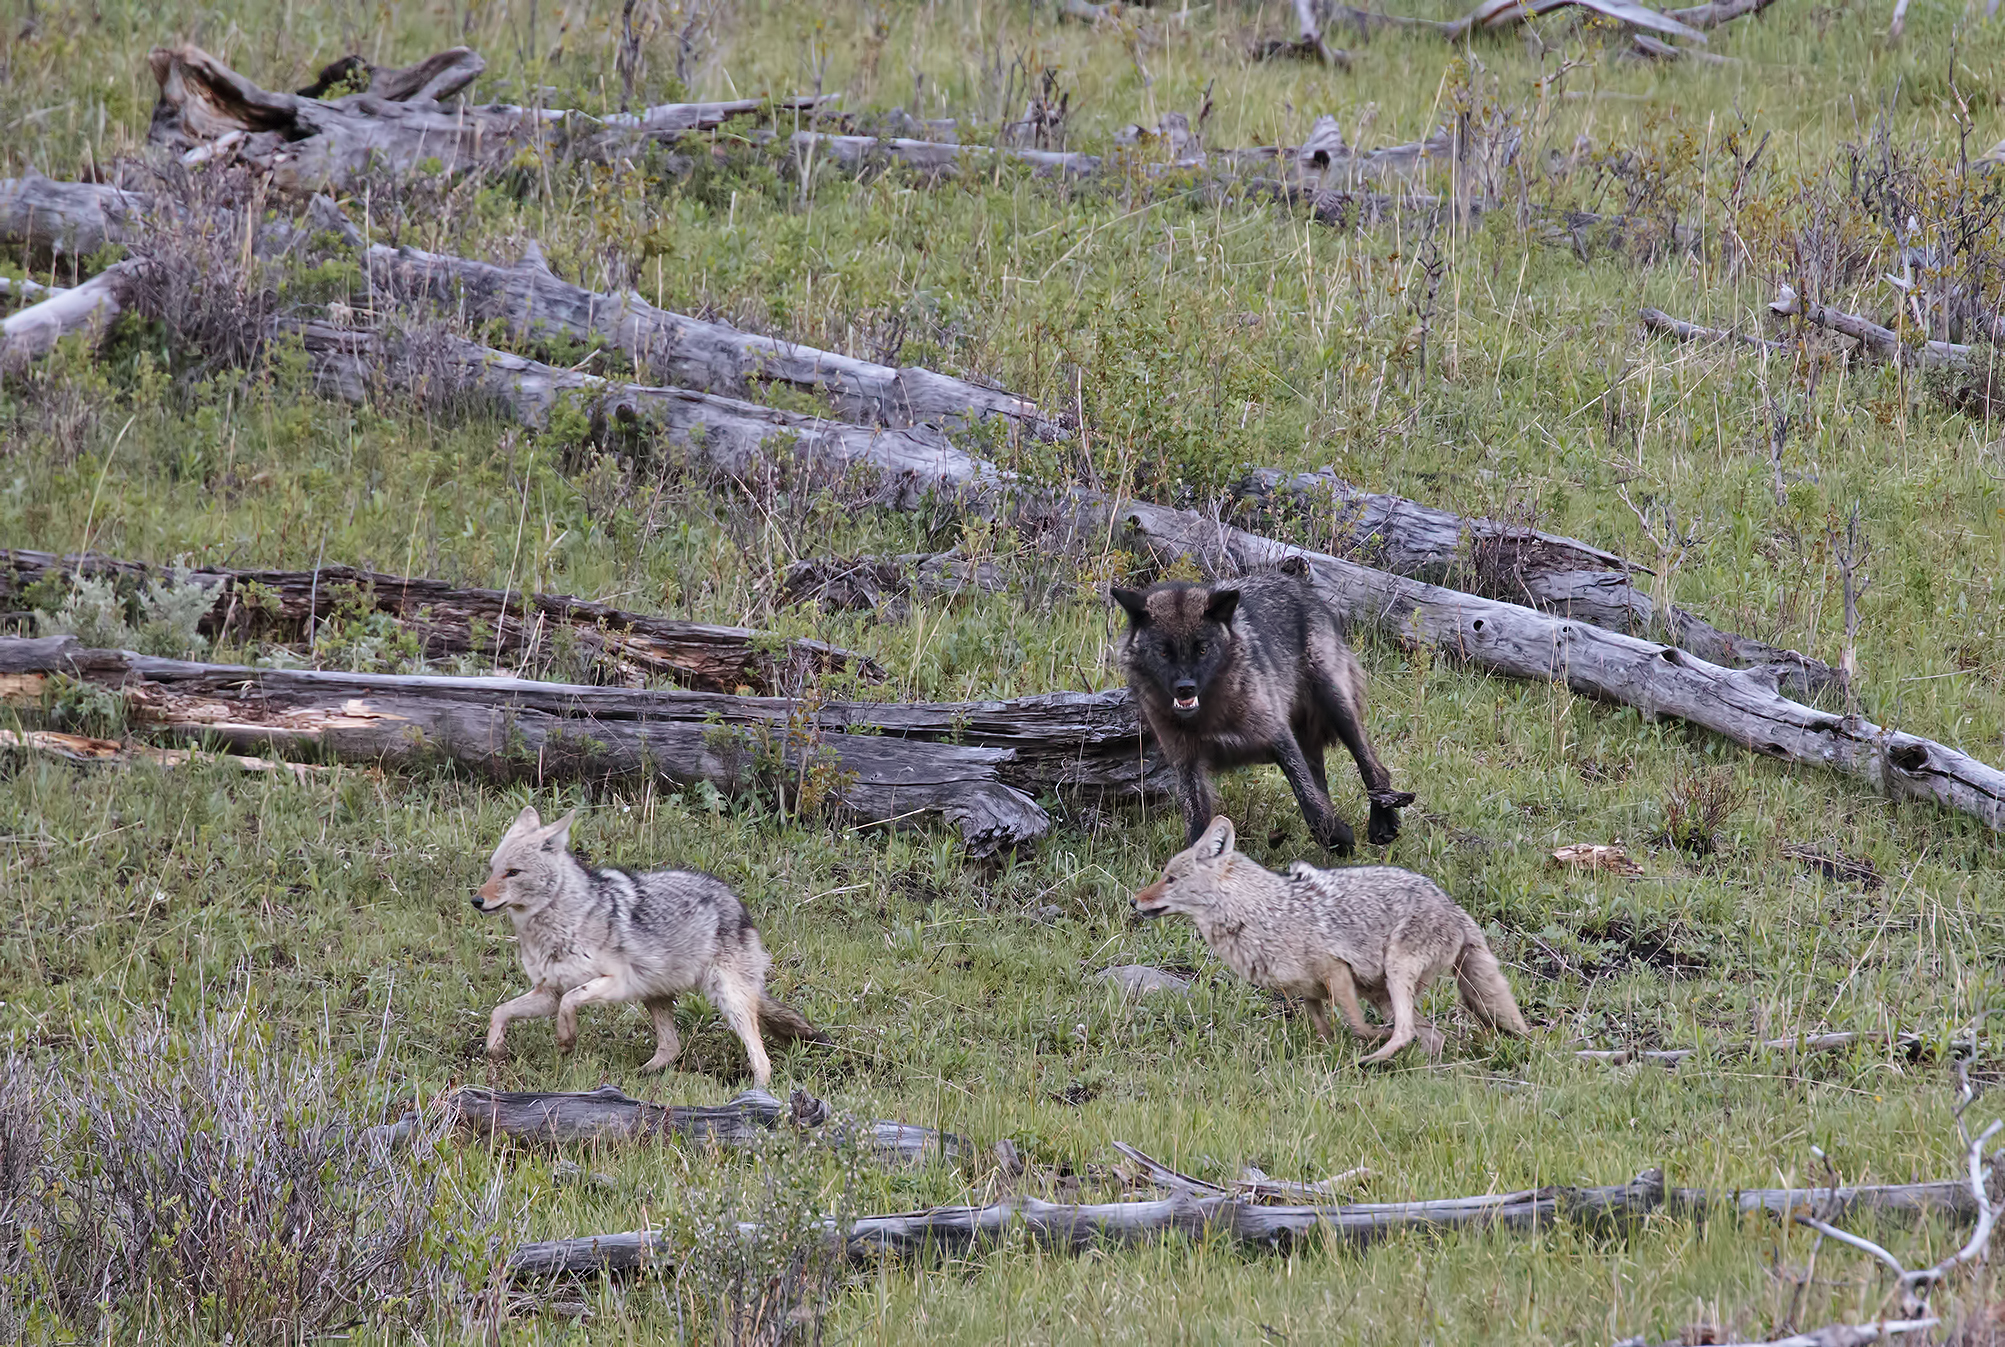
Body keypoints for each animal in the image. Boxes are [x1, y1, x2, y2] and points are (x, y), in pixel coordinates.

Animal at [471, 806, 822, 1088]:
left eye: (513, 872)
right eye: (492, 869)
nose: (476, 900)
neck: (560, 925)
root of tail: (736, 902)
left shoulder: (615, 984)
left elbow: (570, 1003)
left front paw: (566, 1039)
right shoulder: (548, 993)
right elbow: (499, 1011)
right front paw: (495, 1050)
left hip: (725, 999)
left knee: (762, 1060)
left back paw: (755, 1095)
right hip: (654, 994)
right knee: (671, 1046)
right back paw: (640, 1076)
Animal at [1112, 560, 1413, 855]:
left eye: (1203, 649)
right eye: (1163, 652)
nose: (1185, 687)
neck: (1210, 715)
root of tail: (1302, 587)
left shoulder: (1280, 739)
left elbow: (1311, 805)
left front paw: (1340, 840)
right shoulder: (1187, 766)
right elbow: (1197, 830)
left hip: (1337, 708)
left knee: (1373, 768)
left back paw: (1382, 824)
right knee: (1327, 786)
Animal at [1133, 816, 1528, 1063]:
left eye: (1170, 879)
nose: (1134, 900)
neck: (1261, 916)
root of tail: (1456, 909)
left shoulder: (1336, 972)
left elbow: (1358, 1026)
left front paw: (1367, 1041)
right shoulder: (1307, 993)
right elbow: (1326, 1033)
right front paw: (1331, 1053)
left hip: (1394, 975)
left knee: (1407, 1031)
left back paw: (1373, 1059)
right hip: (1383, 991)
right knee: (1430, 1035)